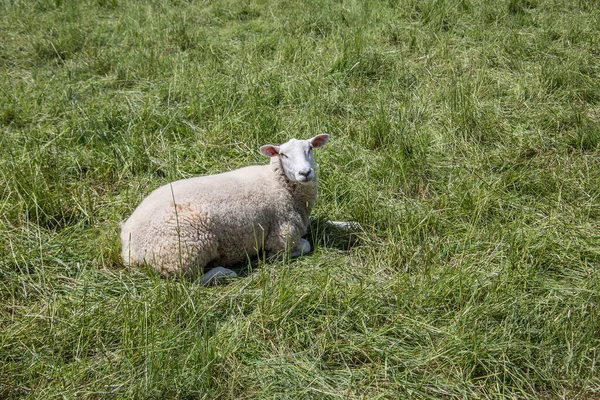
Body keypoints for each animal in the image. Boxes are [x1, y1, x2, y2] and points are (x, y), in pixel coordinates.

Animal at [120, 134, 330, 282]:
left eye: (310, 149)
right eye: (283, 155)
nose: (305, 172)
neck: (277, 182)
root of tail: (130, 249)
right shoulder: (282, 234)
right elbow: (304, 246)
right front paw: (272, 256)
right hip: (183, 250)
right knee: (190, 279)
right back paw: (224, 273)